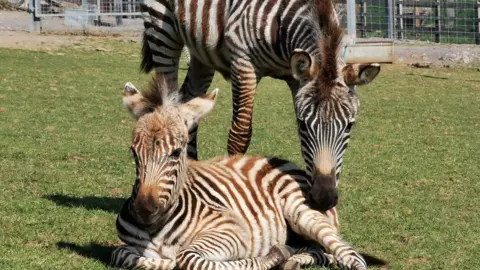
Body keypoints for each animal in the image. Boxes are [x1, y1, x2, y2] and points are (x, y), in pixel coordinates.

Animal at [112, 75, 368, 270]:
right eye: (134, 152)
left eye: (176, 153)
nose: (143, 210)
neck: (157, 229)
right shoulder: (130, 248)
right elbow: (124, 255)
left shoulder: (233, 231)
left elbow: (187, 258)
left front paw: (272, 256)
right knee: (320, 251)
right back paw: (295, 258)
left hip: (302, 212)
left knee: (349, 254)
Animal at [138, 0, 378, 211]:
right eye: (303, 125)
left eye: (349, 126)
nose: (323, 198)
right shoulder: (243, 63)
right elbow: (240, 134)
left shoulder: (295, 79)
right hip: (161, 31)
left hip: (201, 52)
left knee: (190, 101)